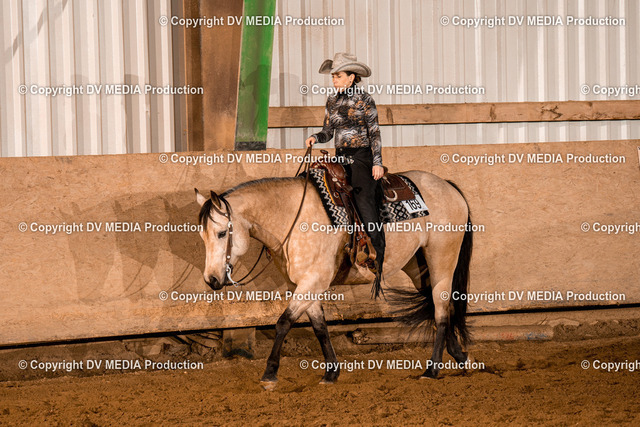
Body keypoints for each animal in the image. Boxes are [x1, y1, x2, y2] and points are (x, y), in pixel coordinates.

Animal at [195, 168, 472, 390]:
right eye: (202, 236)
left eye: (222, 233)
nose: (211, 279)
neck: (292, 219)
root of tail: (448, 186)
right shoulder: (305, 285)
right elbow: (319, 327)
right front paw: (330, 373)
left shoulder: (313, 281)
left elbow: (283, 322)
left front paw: (270, 374)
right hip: (418, 266)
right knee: (440, 306)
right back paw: (460, 357)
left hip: (442, 259)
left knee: (440, 309)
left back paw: (432, 370)